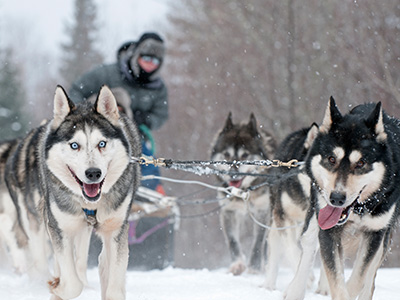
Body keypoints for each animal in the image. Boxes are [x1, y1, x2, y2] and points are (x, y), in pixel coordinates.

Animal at [29, 85, 139, 300]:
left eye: (102, 143)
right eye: (74, 145)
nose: (93, 173)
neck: (90, 204)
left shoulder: (117, 230)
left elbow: (114, 288)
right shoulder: (60, 228)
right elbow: (72, 284)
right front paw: (56, 287)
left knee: (101, 262)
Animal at [211, 112, 276, 274]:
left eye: (245, 155)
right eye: (226, 154)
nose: (233, 175)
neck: (244, 192)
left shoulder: (262, 211)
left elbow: (258, 242)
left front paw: (254, 267)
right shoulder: (229, 211)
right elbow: (232, 240)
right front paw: (238, 264)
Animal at [296, 98, 398, 300]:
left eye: (361, 163)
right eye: (331, 159)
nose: (336, 198)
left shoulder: (375, 233)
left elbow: (359, 278)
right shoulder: (328, 232)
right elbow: (336, 278)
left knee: (370, 275)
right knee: (308, 242)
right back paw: (293, 290)